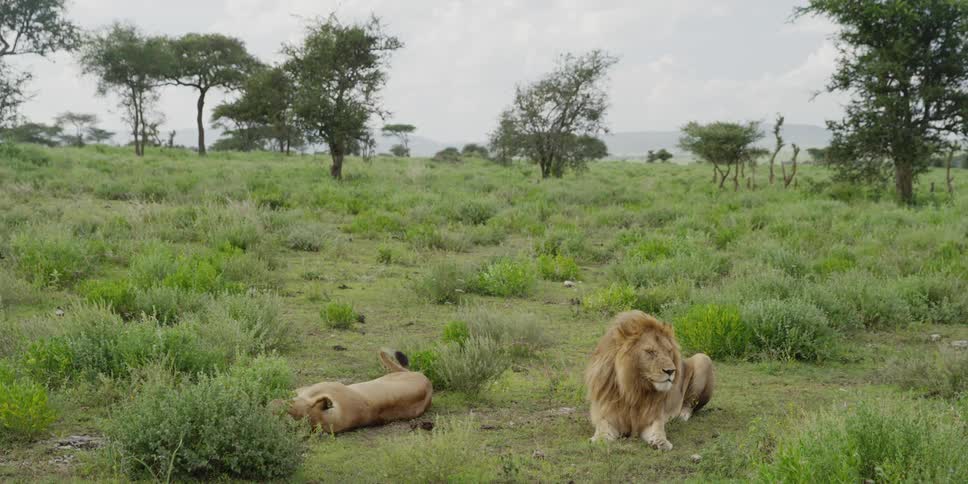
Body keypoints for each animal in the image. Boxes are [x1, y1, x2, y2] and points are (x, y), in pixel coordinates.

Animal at [585, 311, 714, 450]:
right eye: (650, 352)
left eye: (669, 351)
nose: (671, 371)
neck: (633, 390)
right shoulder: (605, 413)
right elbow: (602, 426)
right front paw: (600, 439)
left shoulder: (653, 417)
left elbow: (658, 429)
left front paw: (661, 442)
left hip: (703, 358)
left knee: (690, 404)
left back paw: (681, 415)